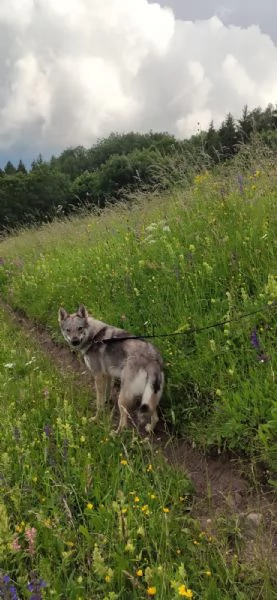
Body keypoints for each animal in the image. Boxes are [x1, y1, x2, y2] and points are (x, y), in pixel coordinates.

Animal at [57, 304, 163, 432]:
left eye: (80, 328)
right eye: (68, 330)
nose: (75, 341)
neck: (94, 337)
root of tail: (152, 359)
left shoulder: (98, 376)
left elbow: (99, 403)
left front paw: (96, 418)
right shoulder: (107, 375)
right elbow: (106, 395)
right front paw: (106, 404)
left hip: (122, 397)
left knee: (124, 423)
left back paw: (116, 433)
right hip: (149, 398)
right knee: (155, 417)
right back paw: (150, 429)